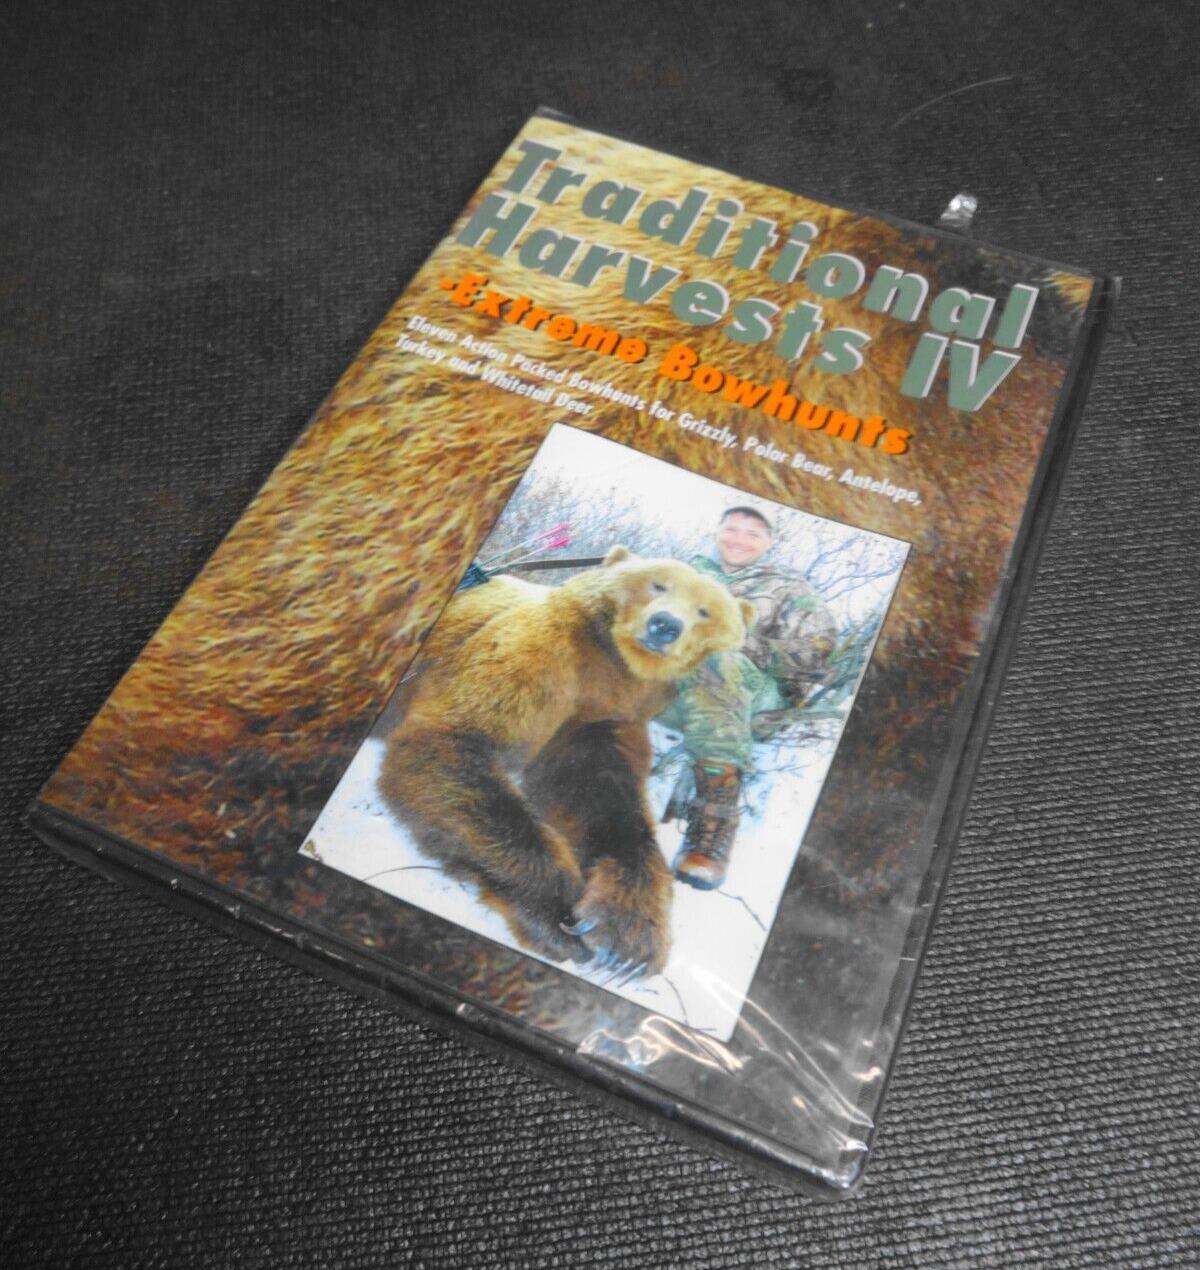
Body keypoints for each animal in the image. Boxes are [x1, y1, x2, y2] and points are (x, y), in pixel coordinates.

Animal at [377, 546, 755, 978]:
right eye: (658, 583)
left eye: (705, 610)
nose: (665, 625)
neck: (611, 664)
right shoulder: (543, 654)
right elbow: (455, 741)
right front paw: (560, 914)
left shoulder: (603, 712)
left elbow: (596, 795)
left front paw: (624, 937)